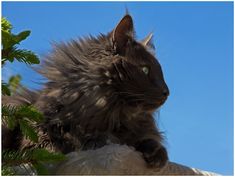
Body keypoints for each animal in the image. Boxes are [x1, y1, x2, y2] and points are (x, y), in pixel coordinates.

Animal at [2, 14, 170, 169]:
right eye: (145, 69)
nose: (167, 92)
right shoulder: (38, 136)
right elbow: (65, 144)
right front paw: (97, 140)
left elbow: (145, 139)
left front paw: (156, 155)